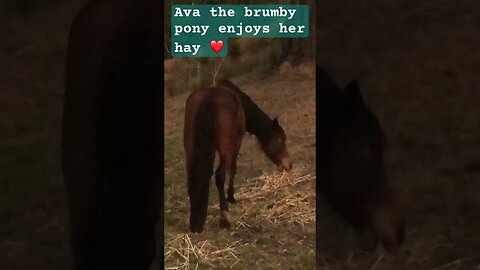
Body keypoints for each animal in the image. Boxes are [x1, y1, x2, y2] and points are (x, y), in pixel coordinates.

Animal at [182, 79, 290, 232]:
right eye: (280, 139)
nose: (288, 164)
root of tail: (208, 100)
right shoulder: (236, 142)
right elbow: (233, 168)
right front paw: (231, 197)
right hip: (225, 149)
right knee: (220, 174)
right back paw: (224, 217)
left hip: (191, 147)